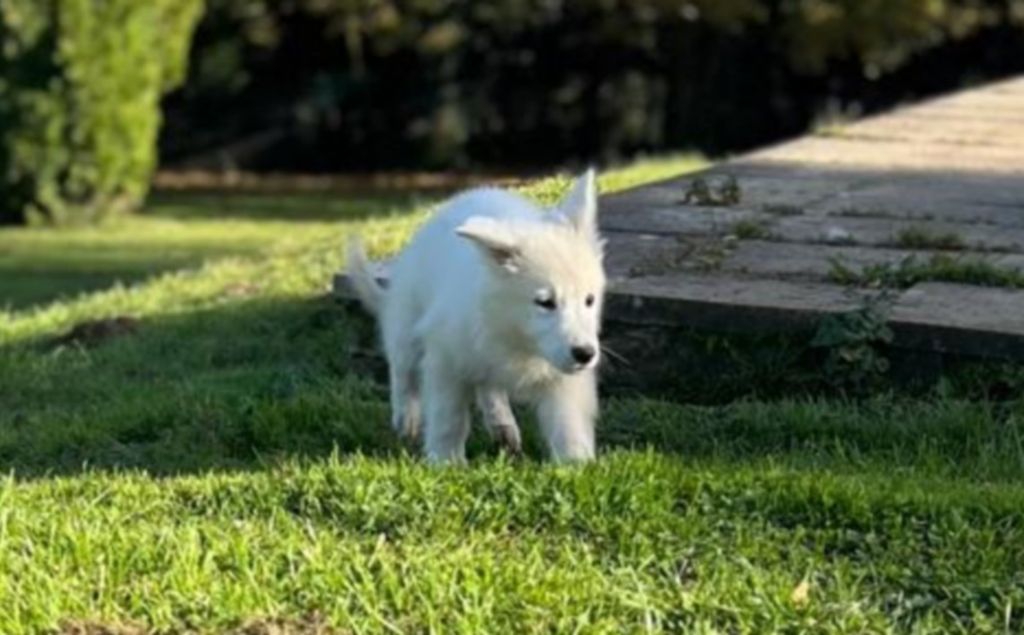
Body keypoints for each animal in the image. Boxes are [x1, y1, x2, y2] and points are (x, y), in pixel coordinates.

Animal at [350, 171, 602, 462]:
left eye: (589, 300)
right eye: (545, 302)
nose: (585, 354)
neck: (514, 335)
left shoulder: (562, 377)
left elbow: (568, 422)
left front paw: (576, 463)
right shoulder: (445, 360)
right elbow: (449, 417)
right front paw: (446, 462)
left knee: (488, 387)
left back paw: (503, 427)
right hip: (407, 326)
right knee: (403, 371)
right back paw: (406, 419)